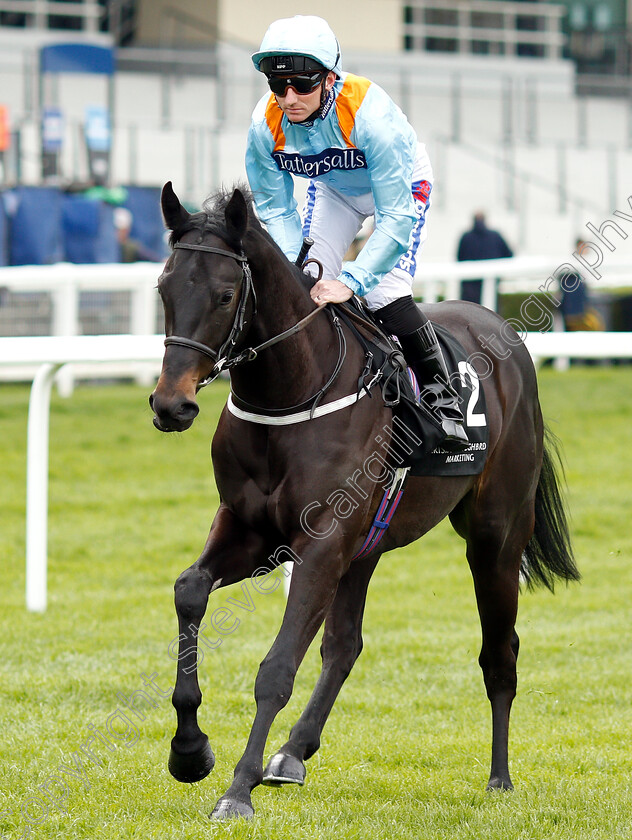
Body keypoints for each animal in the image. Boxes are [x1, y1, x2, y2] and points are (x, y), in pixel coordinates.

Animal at [151, 180, 580, 816]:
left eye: (227, 295)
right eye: (164, 288)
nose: (170, 405)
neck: (292, 395)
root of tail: (498, 327)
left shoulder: (322, 542)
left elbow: (277, 667)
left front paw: (237, 789)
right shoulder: (252, 530)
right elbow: (190, 590)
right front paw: (189, 751)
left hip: (496, 536)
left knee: (499, 652)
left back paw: (500, 777)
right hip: (367, 544)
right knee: (345, 645)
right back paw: (293, 751)